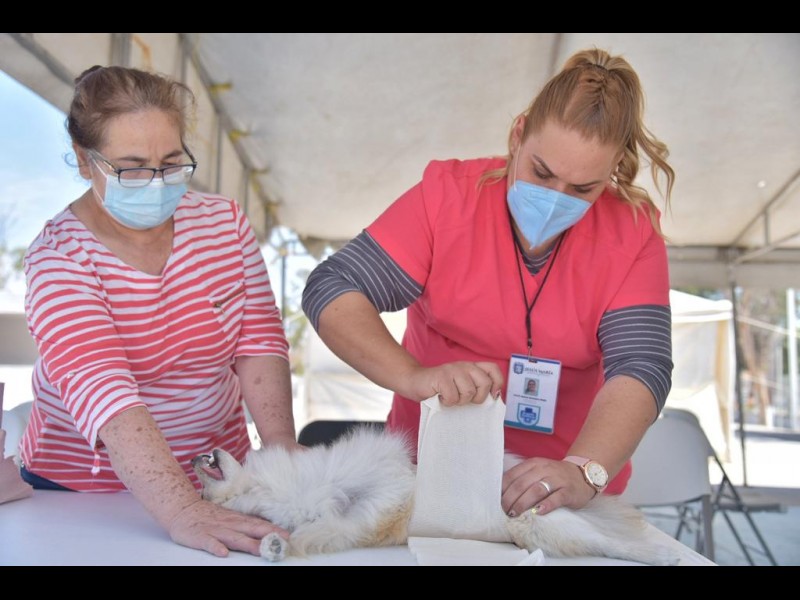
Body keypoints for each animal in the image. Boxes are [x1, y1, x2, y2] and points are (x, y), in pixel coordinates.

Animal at [192, 427, 679, 565]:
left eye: (206, 477)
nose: (198, 455)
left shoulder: (367, 490)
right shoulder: (341, 523)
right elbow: (311, 531)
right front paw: (275, 545)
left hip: (543, 519)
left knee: (617, 544)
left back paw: (664, 555)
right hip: (544, 529)